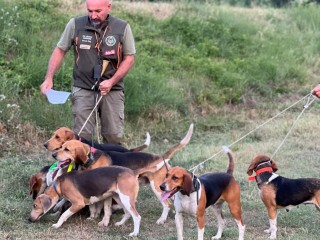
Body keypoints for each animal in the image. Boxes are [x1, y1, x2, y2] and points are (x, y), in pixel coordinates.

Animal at [51, 124, 194, 225]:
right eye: (61, 146)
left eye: (66, 149)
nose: (53, 154)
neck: (91, 158)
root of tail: (160, 157)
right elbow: (93, 205)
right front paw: (93, 216)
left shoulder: (105, 191)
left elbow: (105, 208)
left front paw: (104, 221)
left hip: (157, 187)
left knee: (166, 204)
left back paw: (161, 219)